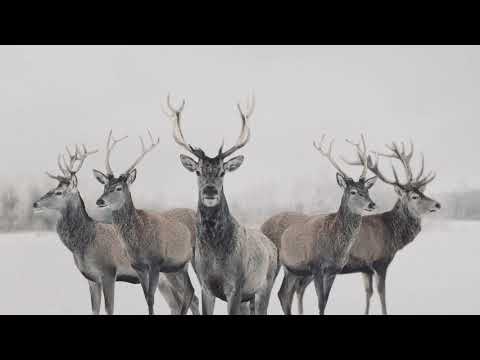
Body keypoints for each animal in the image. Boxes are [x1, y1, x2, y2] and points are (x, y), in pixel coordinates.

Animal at [93, 130, 195, 316]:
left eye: (118, 188)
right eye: (104, 186)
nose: (100, 201)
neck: (138, 242)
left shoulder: (156, 262)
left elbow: (151, 297)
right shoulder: (138, 267)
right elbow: (147, 297)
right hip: (178, 266)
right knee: (190, 291)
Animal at [167, 94, 278, 314]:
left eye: (222, 172)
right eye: (198, 171)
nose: (210, 191)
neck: (215, 255)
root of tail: (273, 248)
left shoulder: (236, 286)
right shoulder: (206, 286)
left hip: (265, 286)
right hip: (248, 298)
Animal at [276, 134, 376, 314]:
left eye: (367, 190)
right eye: (353, 192)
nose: (372, 204)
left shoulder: (333, 270)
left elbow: (325, 301)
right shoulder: (316, 266)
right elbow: (321, 301)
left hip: (292, 269)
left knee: (283, 294)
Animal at [286, 139, 440, 314]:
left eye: (422, 193)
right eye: (414, 196)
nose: (437, 204)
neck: (391, 233)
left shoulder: (365, 268)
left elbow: (368, 293)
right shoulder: (380, 261)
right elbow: (381, 293)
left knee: (297, 289)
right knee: (297, 289)